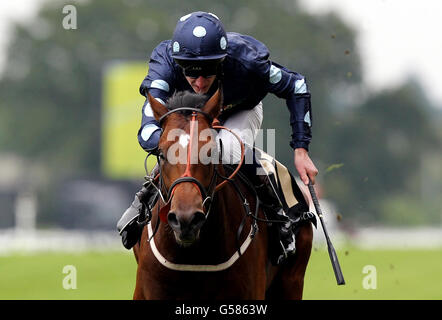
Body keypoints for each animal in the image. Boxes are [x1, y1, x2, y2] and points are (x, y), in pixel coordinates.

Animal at [132, 88, 314, 300]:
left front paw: (303, 160)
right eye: (161, 153)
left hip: (292, 280)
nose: (186, 219)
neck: (192, 256)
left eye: (210, 152)